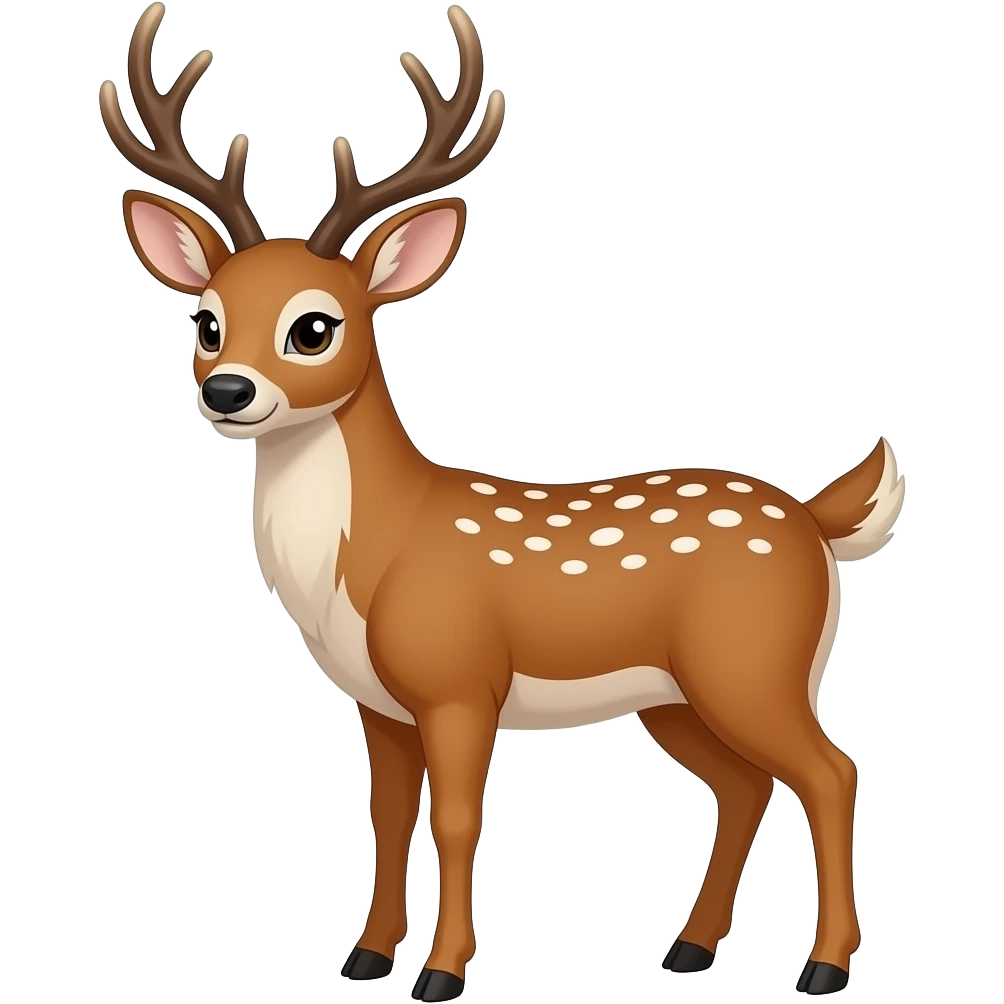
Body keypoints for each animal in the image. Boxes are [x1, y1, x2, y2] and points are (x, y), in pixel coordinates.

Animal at [99, 3, 903, 999]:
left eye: (315, 326)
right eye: (206, 322)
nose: (227, 391)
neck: (369, 559)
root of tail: (814, 522)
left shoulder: (458, 680)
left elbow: (455, 819)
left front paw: (442, 973)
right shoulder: (379, 702)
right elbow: (387, 815)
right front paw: (367, 957)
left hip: (753, 663)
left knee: (832, 771)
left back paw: (822, 967)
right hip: (676, 693)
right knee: (746, 784)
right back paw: (689, 949)